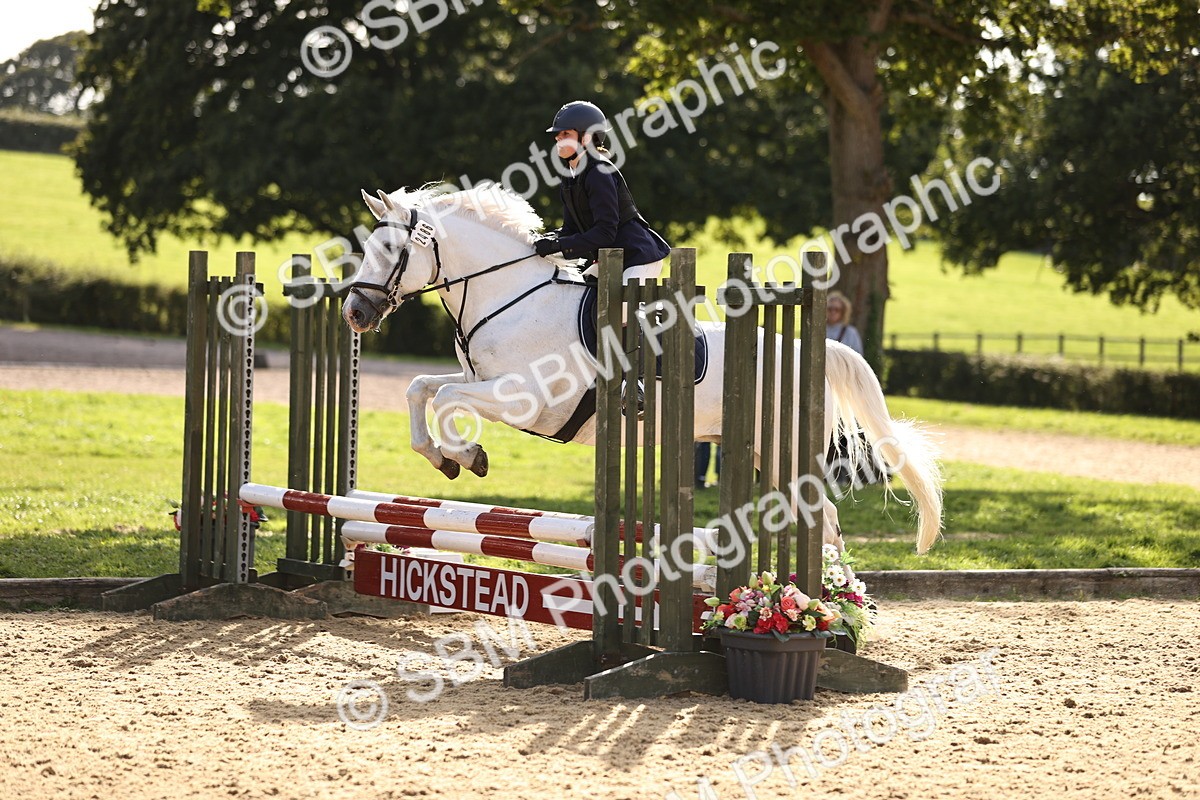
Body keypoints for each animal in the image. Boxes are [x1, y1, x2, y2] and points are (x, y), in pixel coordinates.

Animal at [341, 183, 943, 554]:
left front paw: (468, 455)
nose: (354, 313)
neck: (509, 294)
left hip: (784, 453)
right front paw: (440, 457)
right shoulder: (479, 381)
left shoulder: (524, 400)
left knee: (827, 527)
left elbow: (446, 402)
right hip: (760, 453)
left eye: (391, 250)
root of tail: (808, 351)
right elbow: (421, 388)